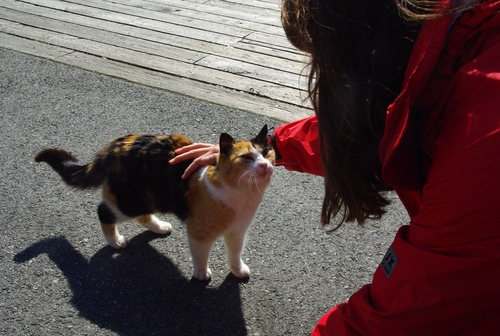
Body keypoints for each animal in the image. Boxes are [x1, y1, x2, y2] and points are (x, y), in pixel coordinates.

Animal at [35, 124, 276, 280]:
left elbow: (235, 253)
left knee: (141, 215)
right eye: (246, 158)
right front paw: (201, 274)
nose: (265, 165)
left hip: (149, 197)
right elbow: (200, 256)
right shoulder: (199, 234)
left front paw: (237, 270)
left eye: (266, 152)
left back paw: (159, 227)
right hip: (129, 201)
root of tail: (111, 147)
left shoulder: (238, 231)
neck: (243, 196)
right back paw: (116, 241)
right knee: (103, 211)